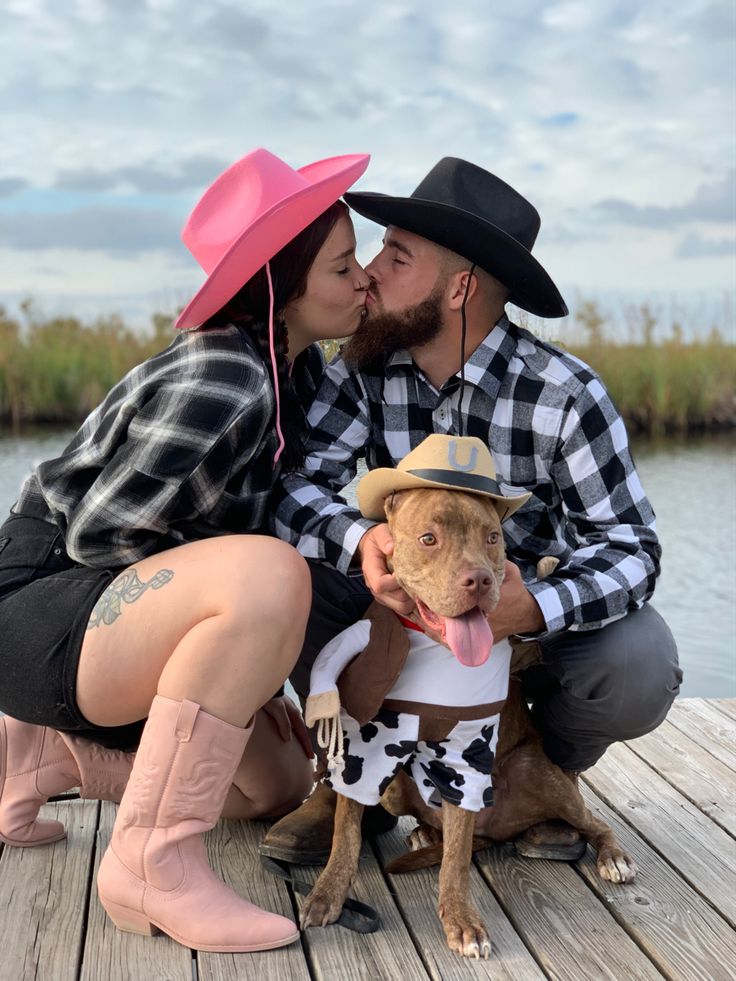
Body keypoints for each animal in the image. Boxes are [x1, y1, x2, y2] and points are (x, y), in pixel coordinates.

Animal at [300, 442, 640, 956]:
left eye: (493, 538)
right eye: (428, 539)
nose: (478, 580)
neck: (428, 649)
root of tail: (496, 832)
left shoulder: (467, 755)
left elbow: (456, 860)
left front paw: (460, 920)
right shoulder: (366, 748)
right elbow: (346, 831)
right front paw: (327, 894)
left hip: (536, 770)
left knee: (588, 821)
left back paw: (610, 854)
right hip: (397, 789)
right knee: (440, 826)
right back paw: (425, 832)